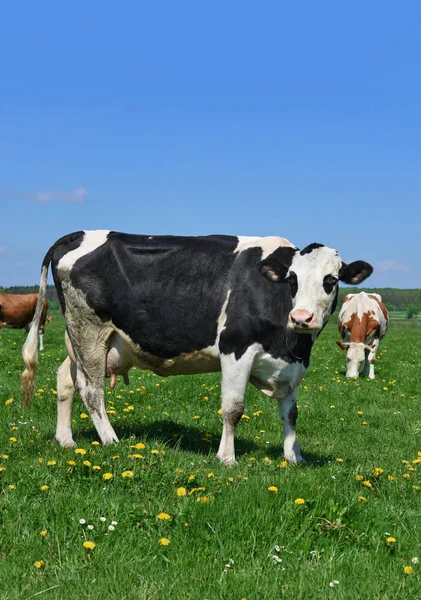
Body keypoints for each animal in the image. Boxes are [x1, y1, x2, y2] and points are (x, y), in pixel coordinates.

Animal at [21, 231, 372, 464]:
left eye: (331, 280)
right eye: (292, 279)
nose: (301, 317)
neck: (289, 344)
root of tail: (75, 235)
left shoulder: (293, 364)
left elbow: (291, 413)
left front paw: (293, 457)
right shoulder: (235, 349)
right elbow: (233, 409)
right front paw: (226, 458)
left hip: (78, 339)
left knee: (65, 380)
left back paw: (66, 440)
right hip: (90, 331)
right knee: (91, 390)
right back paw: (111, 440)